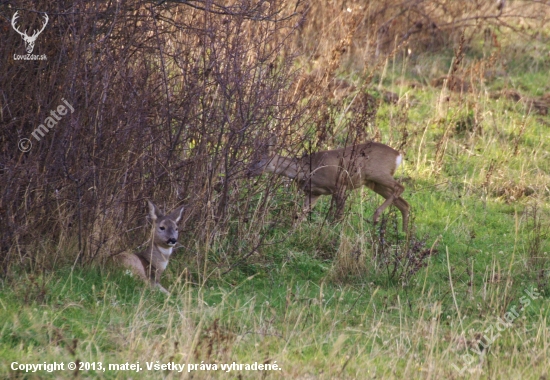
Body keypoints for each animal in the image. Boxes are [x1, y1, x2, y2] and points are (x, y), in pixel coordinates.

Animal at [248, 142, 412, 230]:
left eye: (258, 159)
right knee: (404, 203)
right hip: (374, 183)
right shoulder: (313, 192)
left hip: (378, 173)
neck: (306, 169)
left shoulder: (339, 184)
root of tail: (398, 156)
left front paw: (334, 231)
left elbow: (339, 214)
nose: (247, 171)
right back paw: (403, 235)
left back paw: (377, 216)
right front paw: (292, 231)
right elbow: (302, 213)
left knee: (400, 187)